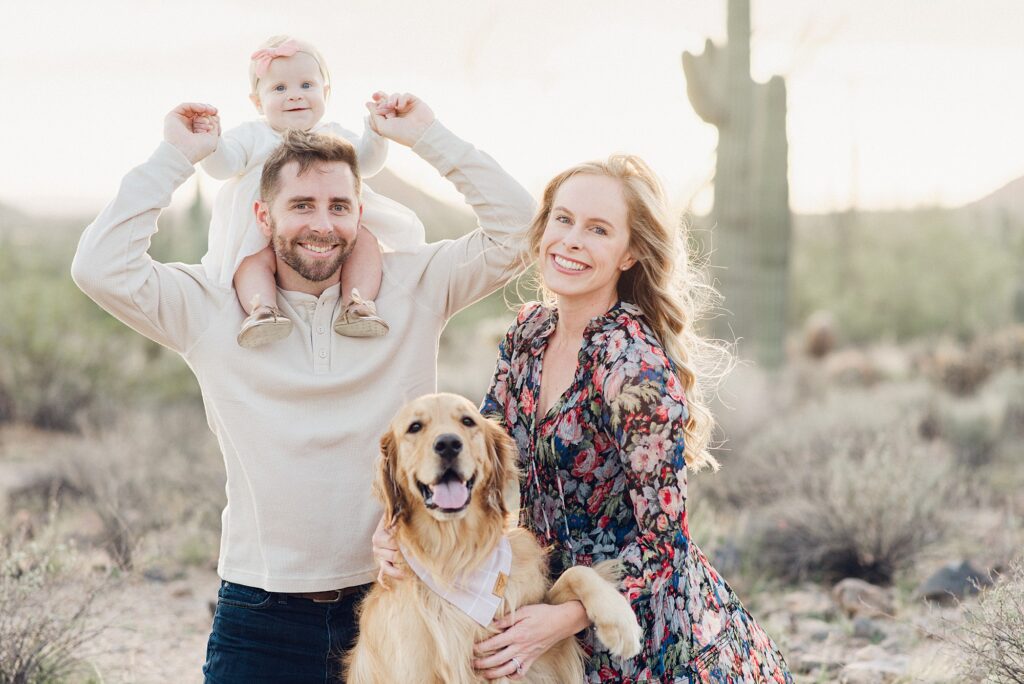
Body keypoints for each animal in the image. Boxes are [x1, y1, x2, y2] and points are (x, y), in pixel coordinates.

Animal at [348, 393, 643, 679]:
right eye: (415, 427)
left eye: (467, 421)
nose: (448, 444)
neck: (457, 556)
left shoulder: (543, 642)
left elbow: (576, 573)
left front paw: (620, 621)